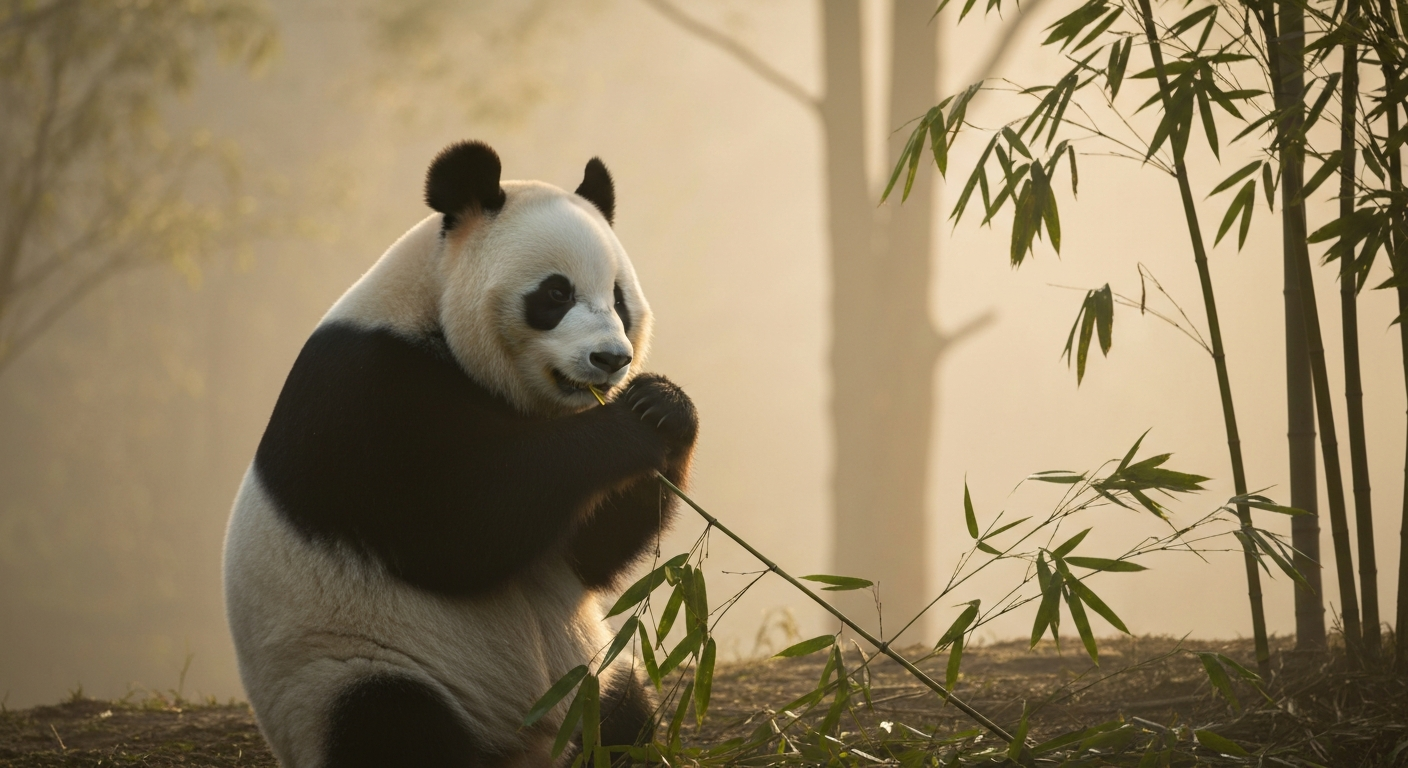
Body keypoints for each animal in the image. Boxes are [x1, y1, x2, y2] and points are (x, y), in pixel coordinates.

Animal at [223, 140, 698, 768]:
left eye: (618, 298)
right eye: (556, 293)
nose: (610, 359)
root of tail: (526, 749)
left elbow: (590, 553)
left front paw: (663, 406)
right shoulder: (364, 392)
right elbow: (458, 525)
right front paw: (625, 427)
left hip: (593, 674)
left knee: (621, 718)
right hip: (355, 671)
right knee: (395, 728)